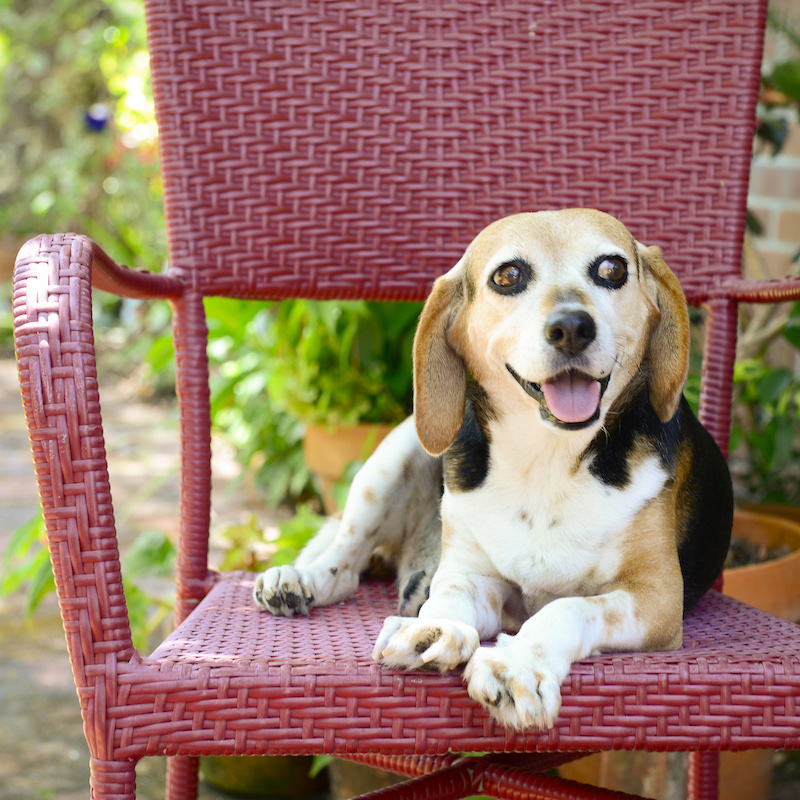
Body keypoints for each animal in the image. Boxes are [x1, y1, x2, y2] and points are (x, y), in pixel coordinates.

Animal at [253, 211, 736, 732]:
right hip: (392, 456)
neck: (546, 461)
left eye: (612, 269)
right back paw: (298, 579)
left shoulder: (658, 599)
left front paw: (517, 663)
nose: (571, 327)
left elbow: (568, 607)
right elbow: (451, 591)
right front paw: (433, 626)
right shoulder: (477, 575)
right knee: (343, 560)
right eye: (508, 276)